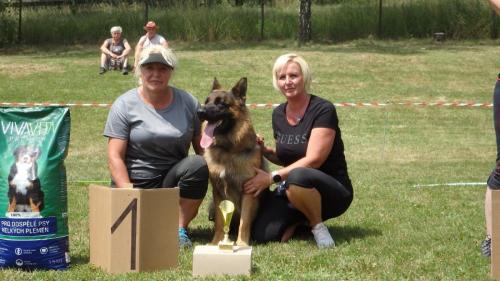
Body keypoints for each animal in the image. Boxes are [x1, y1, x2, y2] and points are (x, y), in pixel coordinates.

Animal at [196, 77, 264, 245]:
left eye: (221, 103)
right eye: (206, 102)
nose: (199, 112)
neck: (228, 150)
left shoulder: (248, 192)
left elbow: (244, 222)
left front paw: (242, 244)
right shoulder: (218, 192)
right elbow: (220, 222)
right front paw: (216, 243)